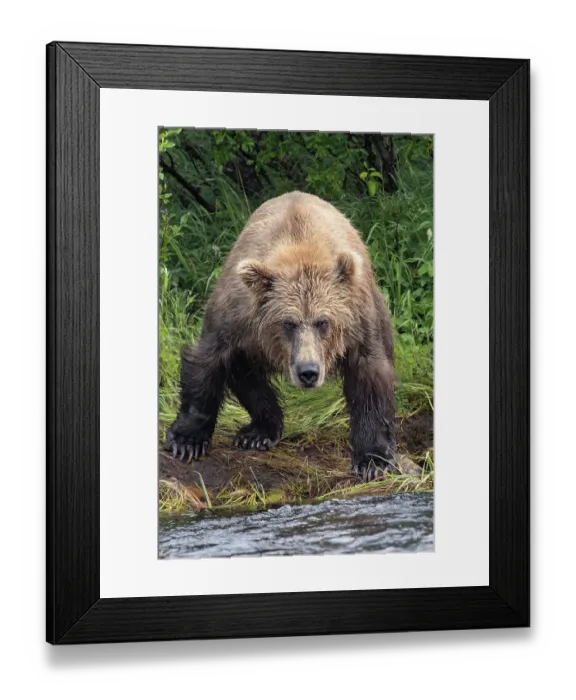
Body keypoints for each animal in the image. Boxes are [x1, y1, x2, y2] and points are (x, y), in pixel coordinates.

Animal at [165, 191, 396, 481]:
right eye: (288, 323)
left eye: (323, 322)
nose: (308, 372)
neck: (300, 246)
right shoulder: (236, 315)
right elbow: (207, 360)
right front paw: (186, 440)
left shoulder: (358, 321)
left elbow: (370, 376)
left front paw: (373, 460)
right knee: (244, 372)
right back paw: (258, 431)